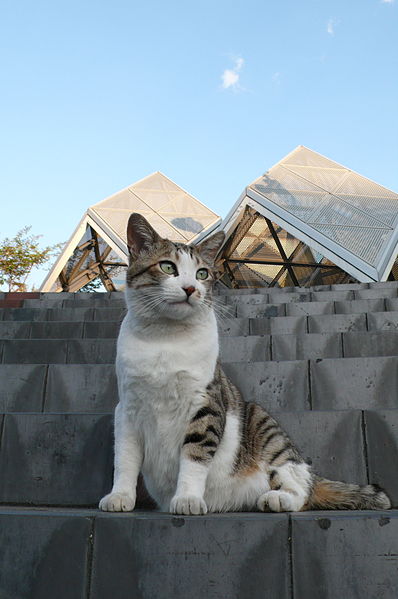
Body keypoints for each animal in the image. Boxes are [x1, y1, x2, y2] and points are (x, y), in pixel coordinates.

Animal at [98, 212, 390, 516]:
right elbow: (125, 458)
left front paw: (188, 498)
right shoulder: (127, 409)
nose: (191, 289)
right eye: (167, 267)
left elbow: (195, 454)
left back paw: (278, 499)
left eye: (202, 274)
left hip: (265, 428)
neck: (166, 339)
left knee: (300, 489)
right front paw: (120, 496)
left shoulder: (206, 403)